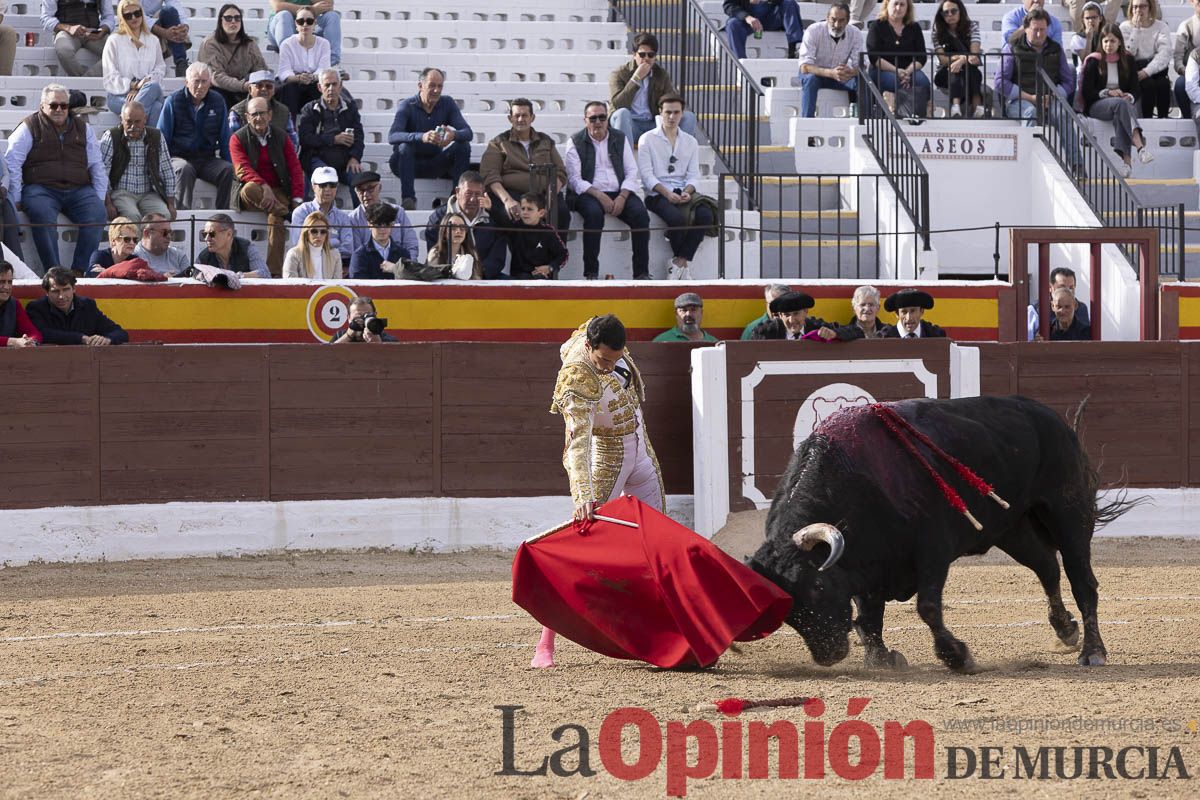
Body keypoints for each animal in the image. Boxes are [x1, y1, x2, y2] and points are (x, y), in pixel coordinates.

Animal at [744, 398, 1128, 671]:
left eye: (818, 587)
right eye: (788, 609)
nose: (829, 654)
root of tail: (1055, 420)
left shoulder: (932, 551)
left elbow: (927, 607)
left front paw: (958, 656)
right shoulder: (866, 562)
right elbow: (867, 617)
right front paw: (882, 659)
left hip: (1068, 513)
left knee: (1082, 581)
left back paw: (1093, 651)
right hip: (1012, 529)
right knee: (1046, 566)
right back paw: (1066, 630)